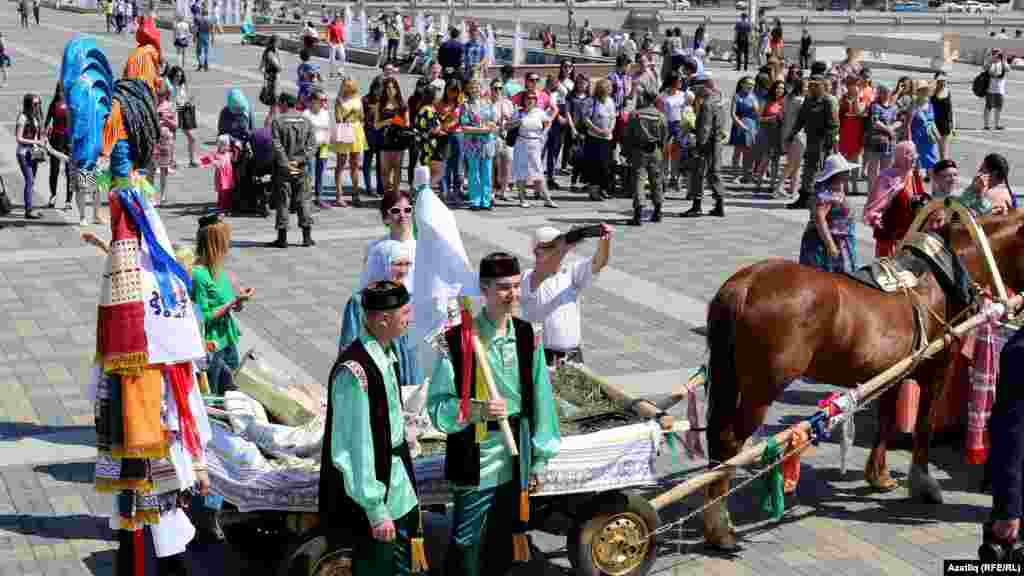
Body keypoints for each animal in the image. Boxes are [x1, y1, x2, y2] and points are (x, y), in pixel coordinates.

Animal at [704, 210, 1024, 545]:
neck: (942, 276)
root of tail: (746, 284)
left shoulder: (894, 371)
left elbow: (886, 420)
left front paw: (878, 476)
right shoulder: (938, 370)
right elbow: (924, 425)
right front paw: (923, 483)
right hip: (762, 388)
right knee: (729, 441)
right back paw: (720, 527)